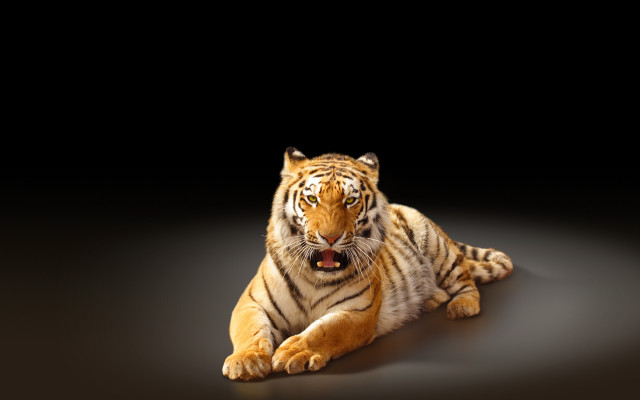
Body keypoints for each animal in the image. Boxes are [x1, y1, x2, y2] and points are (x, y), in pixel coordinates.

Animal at [222, 147, 513, 381]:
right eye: (312, 199)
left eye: (350, 200)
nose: (330, 238)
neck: (315, 277)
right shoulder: (251, 302)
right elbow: (250, 330)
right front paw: (246, 361)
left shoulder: (357, 312)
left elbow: (323, 331)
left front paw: (293, 352)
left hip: (437, 249)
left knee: (466, 279)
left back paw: (462, 306)